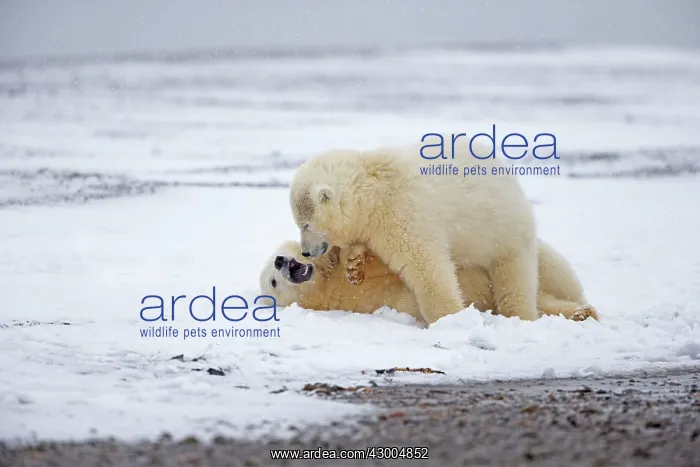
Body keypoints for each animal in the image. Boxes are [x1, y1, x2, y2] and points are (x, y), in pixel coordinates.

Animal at [289, 137, 538, 325]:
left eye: (305, 224)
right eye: (299, 223)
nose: (306, 251)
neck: (374, 191)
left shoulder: (404, 215)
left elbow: (426, 267)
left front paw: (449, 318)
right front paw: (353, 265)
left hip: (502, 227)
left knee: (514, 274)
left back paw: (519, 314)